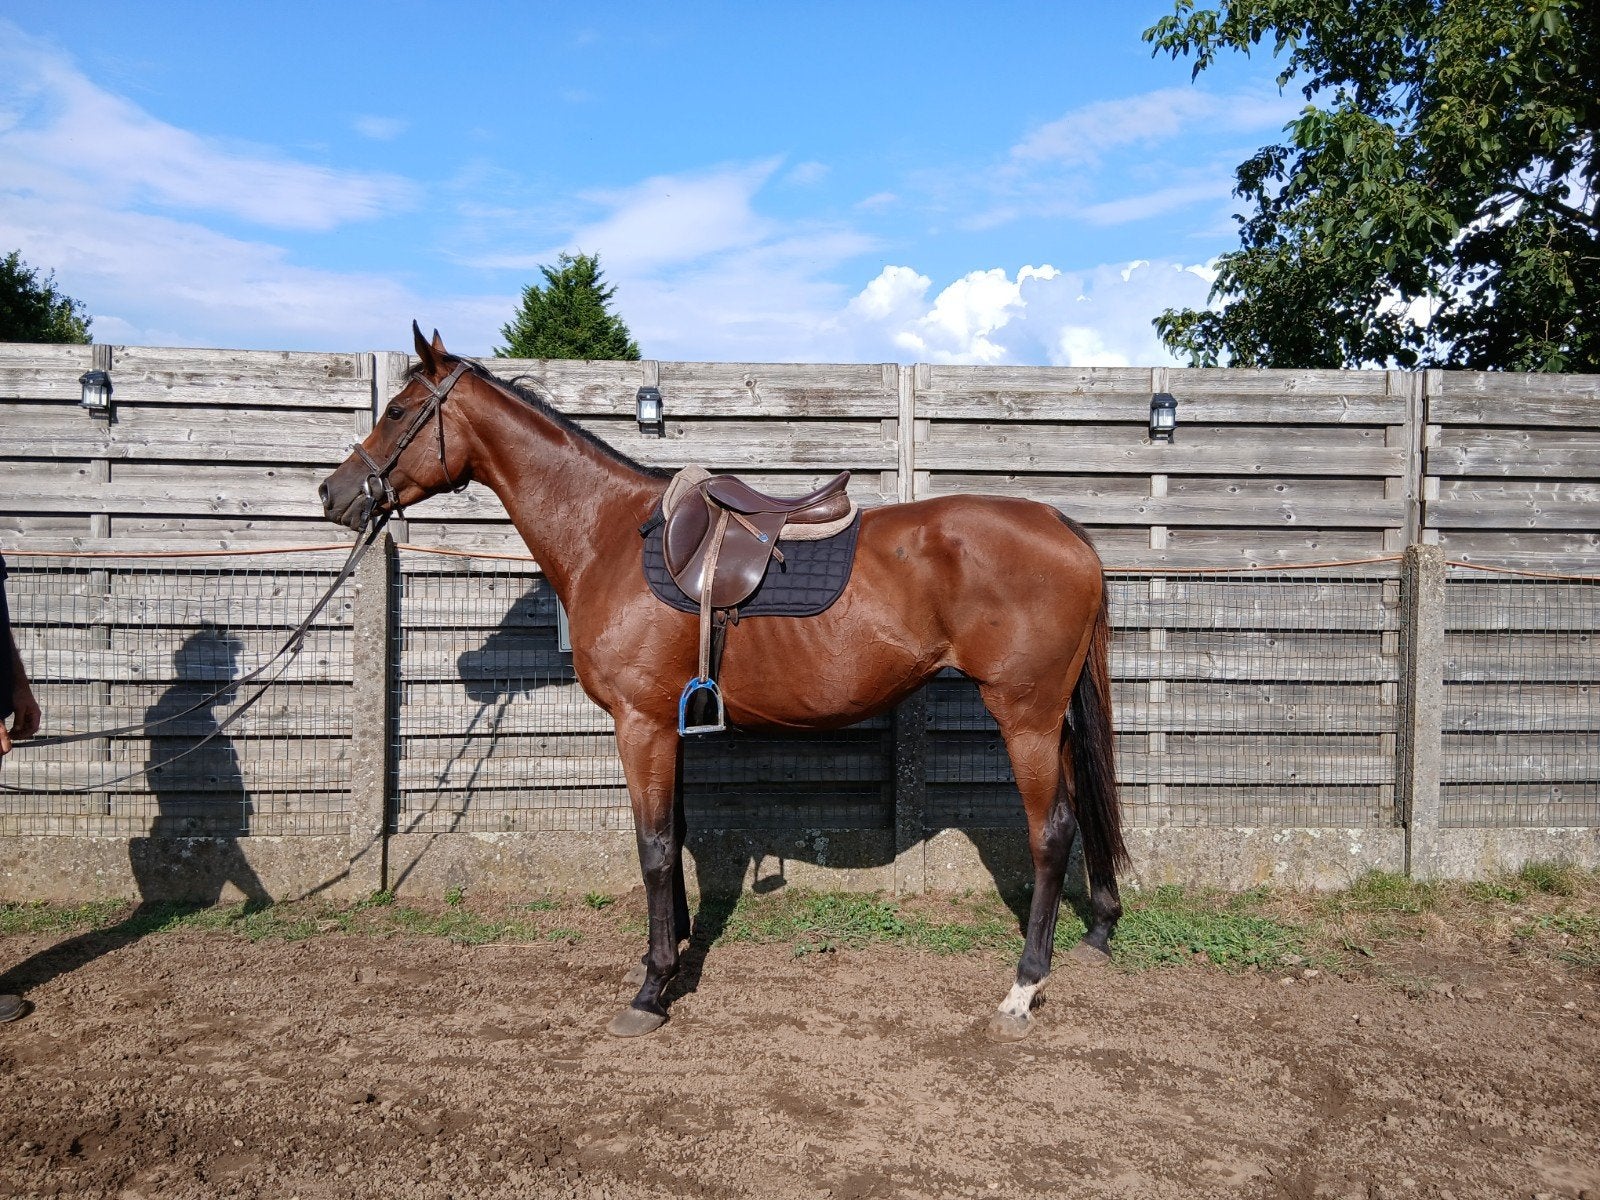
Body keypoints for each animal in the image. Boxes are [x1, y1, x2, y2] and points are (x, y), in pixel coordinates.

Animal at [319, 324, 1127, 1040]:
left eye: (399, 411)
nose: (334, 493)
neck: (609, 535)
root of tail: (1064, 527)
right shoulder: (665, 726)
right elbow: (673, 837)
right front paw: (672, 954)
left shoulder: (640, 723)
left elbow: (651, 847)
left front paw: (650, 989)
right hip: (1051, 718)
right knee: (1080, 818)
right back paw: (1097, 931)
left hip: (1024, 716)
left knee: (1051, 832)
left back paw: (1024, 987)